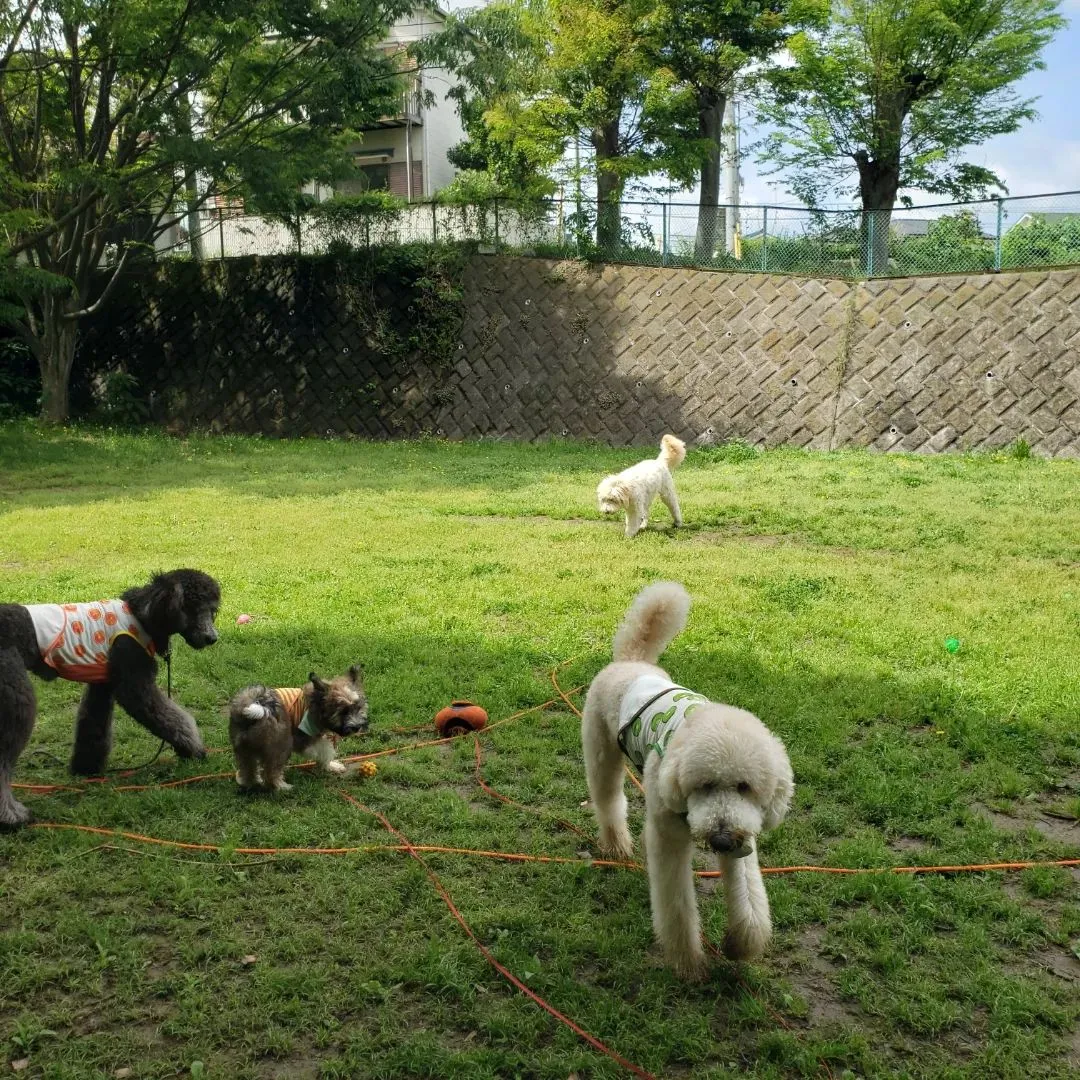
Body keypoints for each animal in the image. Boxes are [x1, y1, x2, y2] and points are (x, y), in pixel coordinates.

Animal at [0, 570, 221, 829]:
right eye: (195, 608)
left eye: (212, 610)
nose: (213, 638)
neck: (141, 615)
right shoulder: (135, 684)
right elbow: (171, 718)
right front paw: (193, 749)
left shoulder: (102, 684)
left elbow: (93, 727)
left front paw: (86, 770)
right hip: (15, 698)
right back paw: (12, 817)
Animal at [583, 583, 794, 980]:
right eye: (704, 785)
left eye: (745, 787)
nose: (722, 839)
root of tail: (631, 659)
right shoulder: (668, 837)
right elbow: (677, 907)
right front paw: (689, 964)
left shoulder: (744, 835)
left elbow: (750, 897)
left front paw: (740, 945)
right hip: (601, 753)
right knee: (609, 800)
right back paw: (616, 844)